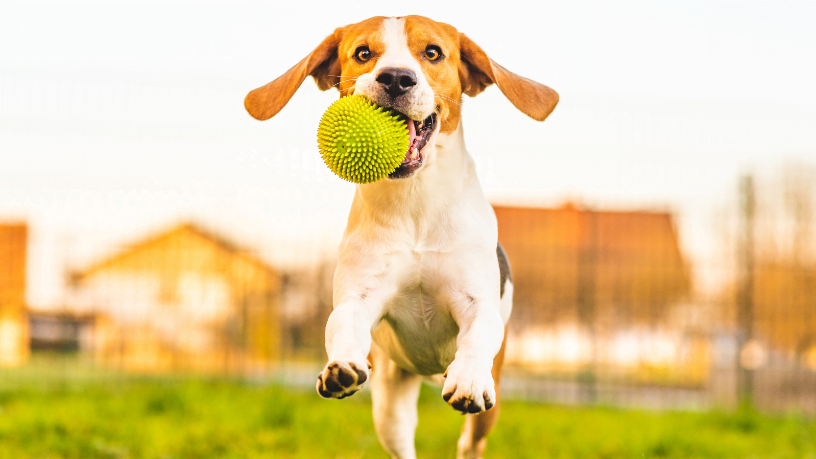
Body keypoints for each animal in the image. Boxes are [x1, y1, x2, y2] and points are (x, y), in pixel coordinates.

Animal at [245, 15, 556, 459]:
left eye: (433, 53)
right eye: (363, 53)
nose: (395, 77)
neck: (415, 201)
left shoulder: (476, 302)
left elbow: (478, 333)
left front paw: (468, 378)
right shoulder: (359, 297)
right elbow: (342, 324)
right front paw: (340, 367)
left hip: (488, 411)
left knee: (471, 441)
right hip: (390, 403)